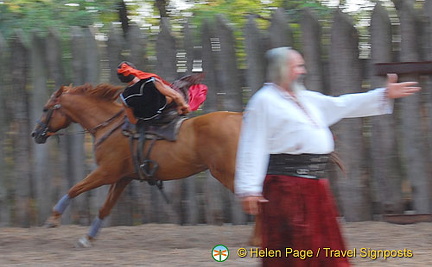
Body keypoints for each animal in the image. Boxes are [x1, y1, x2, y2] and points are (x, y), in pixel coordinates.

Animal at [32, 84, 258, 249]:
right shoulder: (122, 178)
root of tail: (240, 118)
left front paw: (53, 218)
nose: (35, 134)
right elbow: (105, 208)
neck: (110, 127)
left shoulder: (106, 173)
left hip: (227, 172)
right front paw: (87, 238)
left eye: (45, 109)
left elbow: (74, 189)